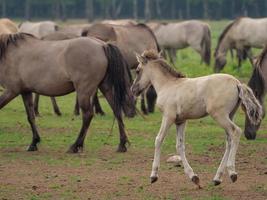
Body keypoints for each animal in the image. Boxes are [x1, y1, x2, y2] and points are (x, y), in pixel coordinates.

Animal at [0, 33, 136, 153]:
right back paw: (122, 145)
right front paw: (34, 142)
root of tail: (102, 45)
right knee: (117, 111)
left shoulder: (11, 91)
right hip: (105, 87)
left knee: (88, 115)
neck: (10, 53)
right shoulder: (25, 91)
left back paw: (75, 146)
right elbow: (31, 117)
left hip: (84, 91)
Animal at [132, 50, 264, 188]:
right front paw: (194, 177)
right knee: (229, 140)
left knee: (236, 132)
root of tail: (237, 83)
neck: (168, 85)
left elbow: (159, 140)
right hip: (229, 115)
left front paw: (153, 176)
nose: (133, 90)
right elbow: (180, 145)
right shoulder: (181, 121)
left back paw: (232, 172)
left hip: (219, 115)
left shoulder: (168, 117)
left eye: (137, 70)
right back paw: (217, 178)